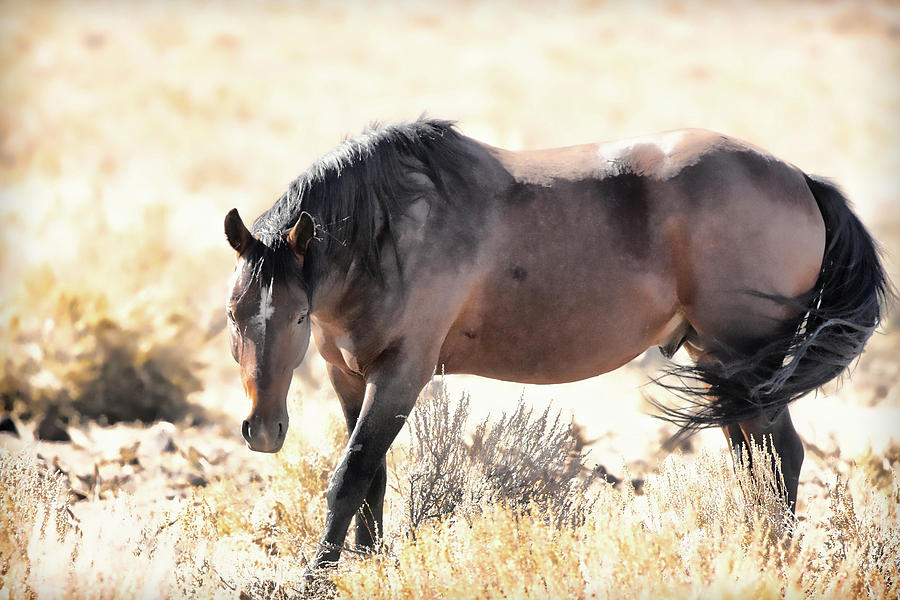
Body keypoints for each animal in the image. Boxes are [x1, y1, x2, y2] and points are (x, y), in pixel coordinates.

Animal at [223, 117, 884, 572]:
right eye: (233, 313)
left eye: (298, 316)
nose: (262, 430)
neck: (392, 233)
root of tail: (801, 179)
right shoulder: (349, 375)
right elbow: (372, 478)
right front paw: (364, 562)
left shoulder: (401, 375)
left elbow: (351, 472)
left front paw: (319, 573)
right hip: (722, 363)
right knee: (756, 460)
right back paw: (754, 545)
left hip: (746, 364)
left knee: (783, 457)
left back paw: (772, 555)